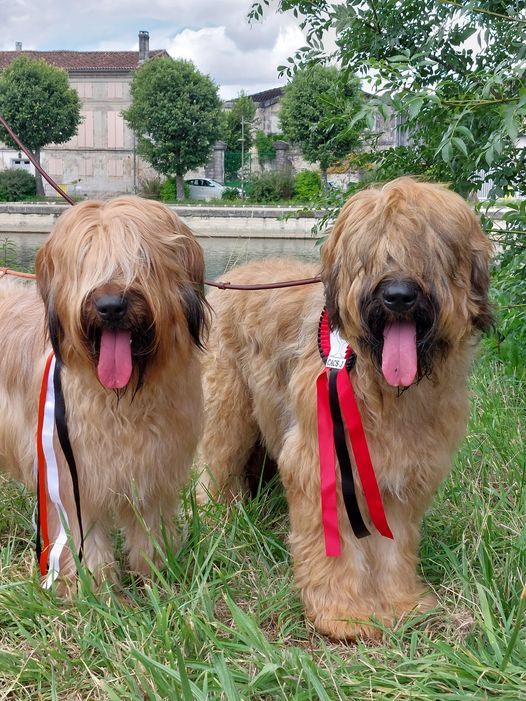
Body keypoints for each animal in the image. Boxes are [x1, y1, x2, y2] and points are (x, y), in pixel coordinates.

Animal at [0, 194, 208, 588]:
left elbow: (149, 530)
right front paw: (98, 589)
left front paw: (156, 577)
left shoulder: (153, 470)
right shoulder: (72, 476)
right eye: (84, 262)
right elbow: (87, 540)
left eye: (142, 259)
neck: (123, 398)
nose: (111, 307)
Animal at [199, 176, 496, 640]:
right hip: (227, 410)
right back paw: (216, 521)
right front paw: (344, 613)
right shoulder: (322, 463)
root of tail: (231, 277)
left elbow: (394, 547)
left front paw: (400, 604)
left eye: (427, 250)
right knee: (213, 465)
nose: (398, 296)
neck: (383, 386)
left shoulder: (401, 473)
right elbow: (334, 548)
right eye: (371, 253)